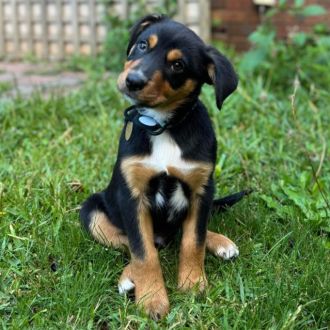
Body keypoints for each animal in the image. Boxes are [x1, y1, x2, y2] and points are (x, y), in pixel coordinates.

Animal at [81, 14, 249, 318]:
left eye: (177, 65)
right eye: (142, 45)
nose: (133, 81)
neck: (163, 126)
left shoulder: (201, 189)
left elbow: (193, 240)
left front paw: (192, 284)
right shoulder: (132, 195)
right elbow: (143, 252)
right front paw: (151, 299)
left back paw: (220, 242)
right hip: (91, 212)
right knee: (131, 244)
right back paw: (128, 277)